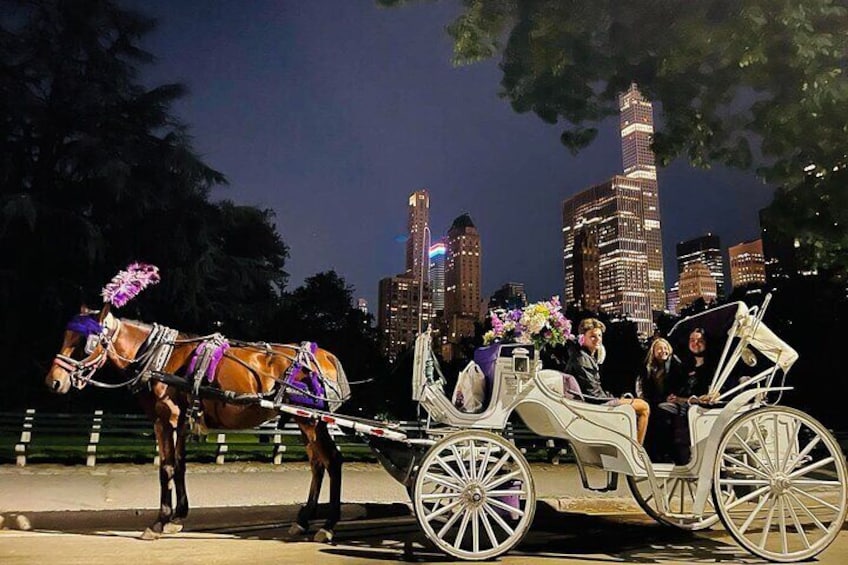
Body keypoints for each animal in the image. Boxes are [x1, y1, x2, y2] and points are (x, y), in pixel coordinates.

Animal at [42, 304, 348, 540]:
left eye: (84, 344)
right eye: (67, 336)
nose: (53, 381)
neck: (158, 358)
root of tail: (323, 354)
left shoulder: (166, 419)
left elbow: (166, 467)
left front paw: (160, 521)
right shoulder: (175, 421)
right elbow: (178, 465)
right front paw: (178, 517)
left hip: (312, 421)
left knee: (332, 460)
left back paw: (329, 525)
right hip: (306, 421)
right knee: (318, 464)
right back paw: (304, 520)